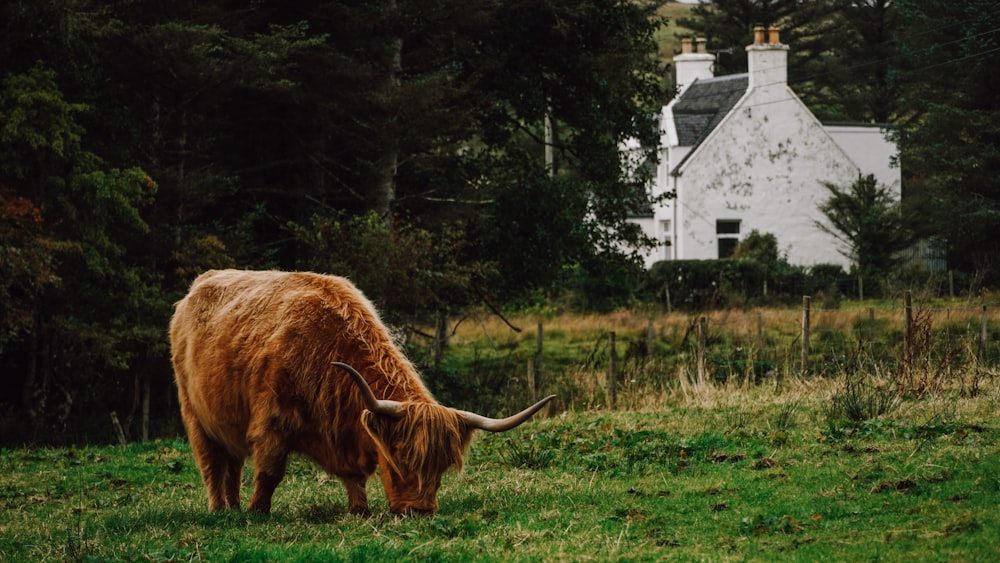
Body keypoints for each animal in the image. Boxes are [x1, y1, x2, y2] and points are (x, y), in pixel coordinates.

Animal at [170, 270, 556, 516]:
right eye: (401, 457)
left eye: (442, 466)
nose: (420, 512)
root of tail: (197, 286)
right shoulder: (272, 421)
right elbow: (269, 472)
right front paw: (257, 512)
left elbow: (354, 477)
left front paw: (360, 509)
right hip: (194, 413)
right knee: (212, 463)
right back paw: (222, 510)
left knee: (232, 463)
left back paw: (232, 506)